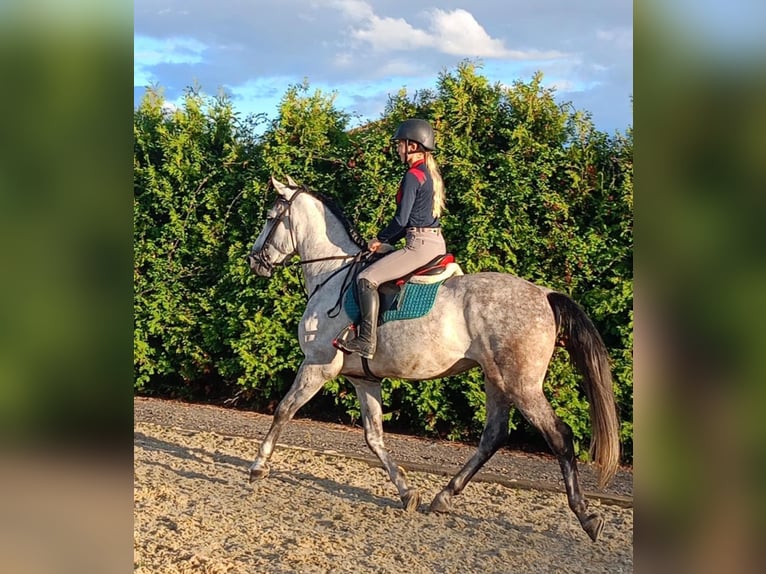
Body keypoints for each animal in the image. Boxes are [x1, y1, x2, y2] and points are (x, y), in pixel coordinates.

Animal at [246, 176, 620, 542]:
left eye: (269, 217)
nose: (253, 261)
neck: (332, 275)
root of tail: (544, 294)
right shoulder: (363, 379)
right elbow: (374, 437)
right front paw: (407, 492)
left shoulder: (317, 365)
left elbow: (284, 410)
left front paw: (258, 466)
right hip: (495, 380)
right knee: (493, 435)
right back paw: (443, 497)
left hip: (522, 385)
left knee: (559, 436)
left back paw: (587, 517)